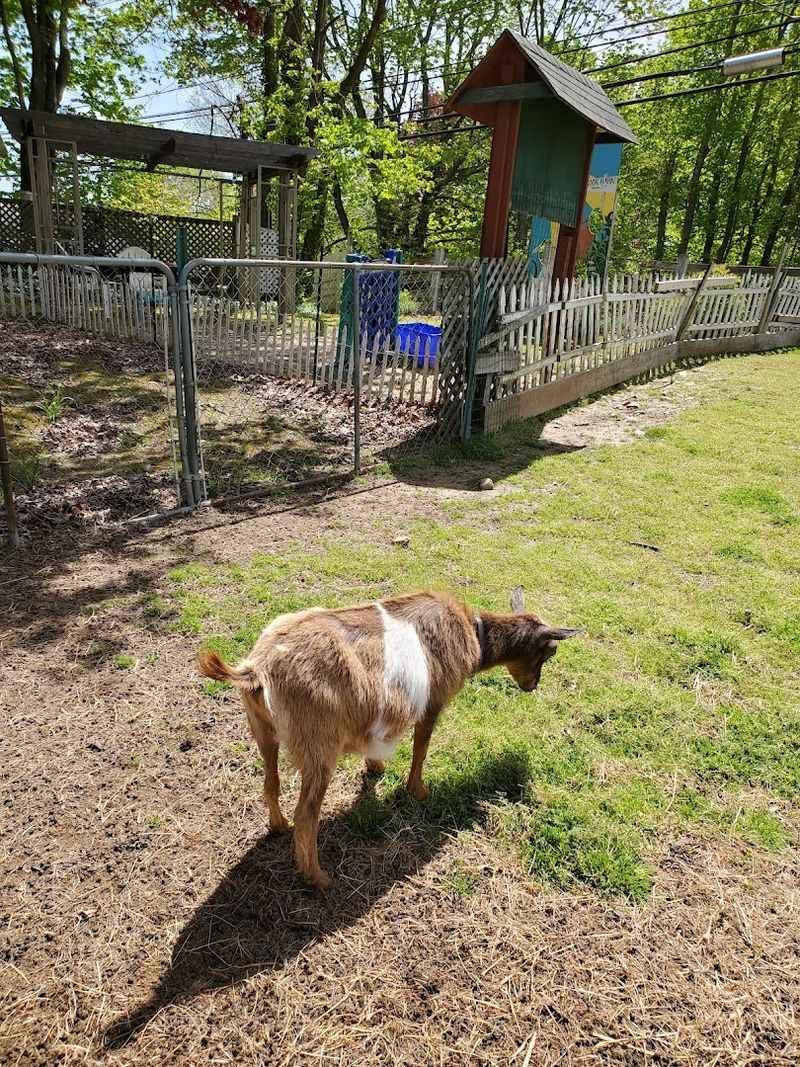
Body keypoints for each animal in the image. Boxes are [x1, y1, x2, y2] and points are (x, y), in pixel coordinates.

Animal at [198, 587, 578, 890]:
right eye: (549, 653)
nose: (532, 686)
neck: (473, 633)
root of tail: (256, 668)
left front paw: (375, 768)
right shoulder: (433, 701)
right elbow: (421, 747)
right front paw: (418, 791)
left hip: (263, 731)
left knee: (270, 782)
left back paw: (278, 827)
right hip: (318, 745)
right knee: (307, 816)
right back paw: (319, 879)